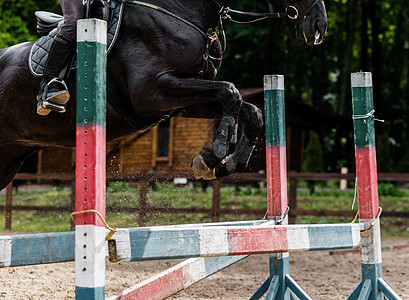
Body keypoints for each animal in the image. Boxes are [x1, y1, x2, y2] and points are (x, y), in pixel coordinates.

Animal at [0, 0, 326, 190]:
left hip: (10, 158)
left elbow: (249, 110)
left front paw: (227, 162)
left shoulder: (180, 101)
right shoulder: (153, 94)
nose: (319, 27)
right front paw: (215, 154)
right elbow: (231, 92)